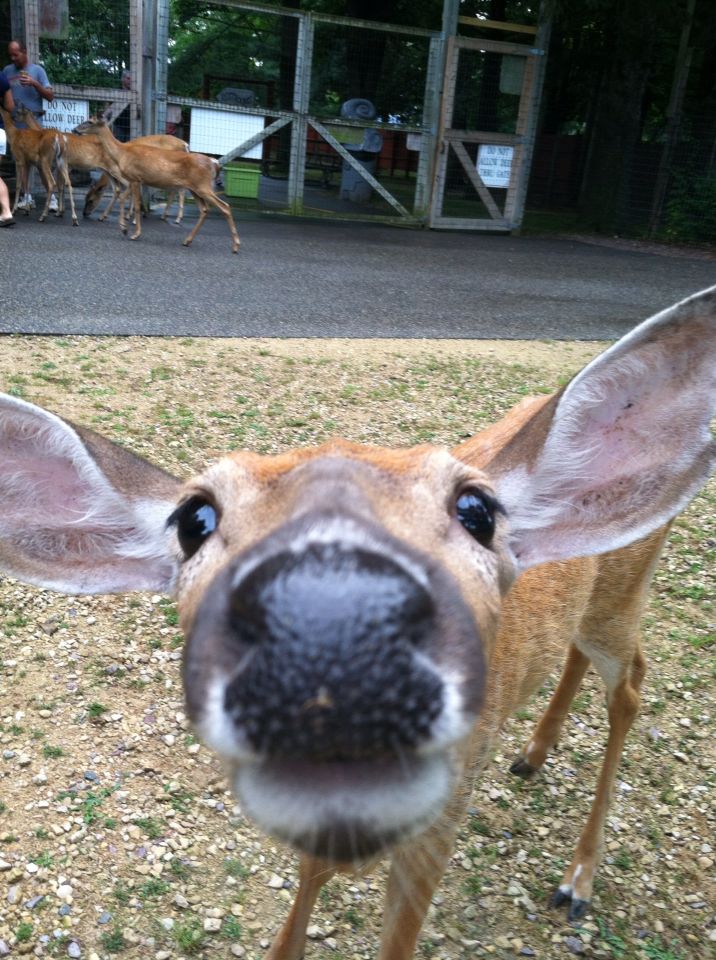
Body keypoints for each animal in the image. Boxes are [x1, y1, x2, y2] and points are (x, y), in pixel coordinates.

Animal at [0, 288, 713, 959]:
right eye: (193, 519)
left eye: (477, 510)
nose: (332, 629)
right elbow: (305, 891)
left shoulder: (442, 822)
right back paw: (533, 756)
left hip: (625, 592)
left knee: (631, 682)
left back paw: (577, 880)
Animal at [73, 117, 239, 253]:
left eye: (90, 121)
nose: (75, 129)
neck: (122, 152)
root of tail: (215, 163)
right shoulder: (134, 180)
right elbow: (123, 198)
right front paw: (124, 228)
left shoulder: (135, 178)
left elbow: (136, 205)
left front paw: (135, 233)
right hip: (195, 189)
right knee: (204, 210)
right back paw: (187, 240)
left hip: (202, 186)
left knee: (225, 206)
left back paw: (236, 246)